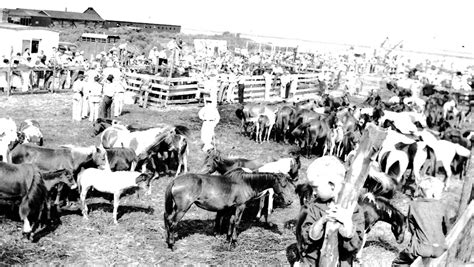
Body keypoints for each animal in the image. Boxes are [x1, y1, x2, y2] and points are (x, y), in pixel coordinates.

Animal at [165, 169, 294, 250]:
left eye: (290, 185)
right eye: (283, 185)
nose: (290, 201)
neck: (246, 183)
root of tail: (175, 180)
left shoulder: (233, 207)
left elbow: (231, 222)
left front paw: (228, 239)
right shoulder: (241, 206)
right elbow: (236, 223)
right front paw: (234, 242)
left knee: (168, 220)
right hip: (182, 209)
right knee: (173, 223)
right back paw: (172, 245)